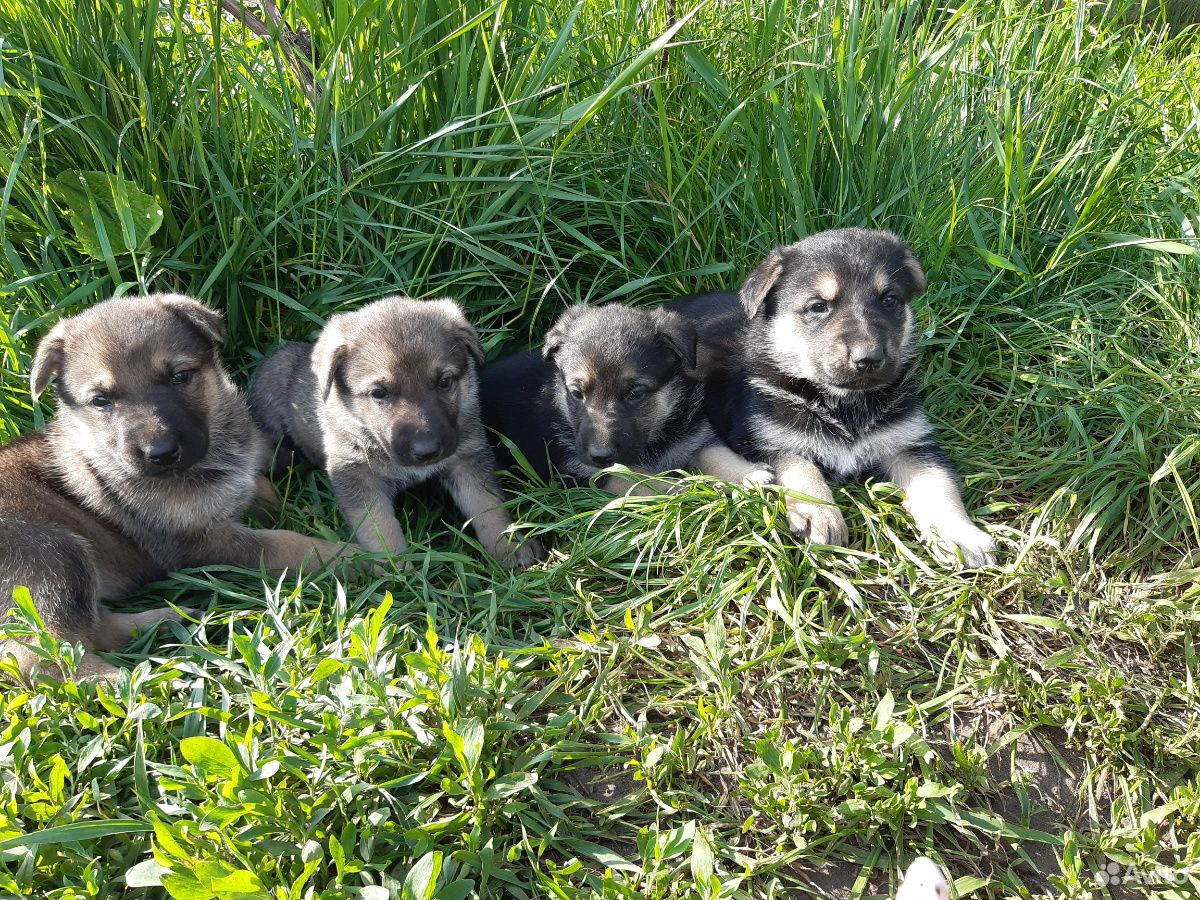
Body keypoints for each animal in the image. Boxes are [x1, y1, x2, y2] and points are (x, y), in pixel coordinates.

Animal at [1, 296, 348, 681]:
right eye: (100, 400)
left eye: (180, 376)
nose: (161, 453)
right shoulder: (207, 542)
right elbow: (293, 545)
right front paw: (362, 557)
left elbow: (258, 490)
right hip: (53, 555)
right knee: (44, 657)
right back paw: (131, 680)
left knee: (89, 632)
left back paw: (166, 622)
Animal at [248, 297, 540, 571]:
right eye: (379, 393)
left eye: (445, 382)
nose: (427, 451)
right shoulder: (356, 474)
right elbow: (379, 527)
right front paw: (396, 568)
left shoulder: (467, 459)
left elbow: (488, 507)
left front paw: (510, 547)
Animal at [475, 301, 758, 496]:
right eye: (576, 394)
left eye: (635, 394)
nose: (600, 456)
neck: (654, 438)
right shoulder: (587, 470)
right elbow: (640, 479)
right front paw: (683, 492)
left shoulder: (695, 438)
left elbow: (715, 454)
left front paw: (750, 476)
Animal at [676, 230, 993, 571]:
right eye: (818, 306)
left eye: (890, 300)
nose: (869, 358)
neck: (842, 402)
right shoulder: (765, 440)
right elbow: (800, 466)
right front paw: (819, 513)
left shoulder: (911, 443)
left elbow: (938, 485)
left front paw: (962, 535)